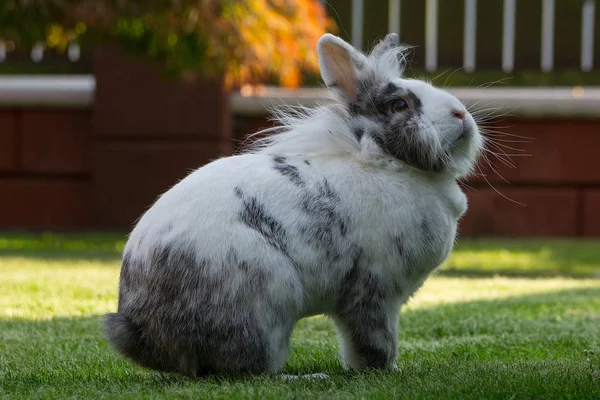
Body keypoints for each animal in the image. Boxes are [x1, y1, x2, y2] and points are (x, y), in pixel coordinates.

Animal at [105, 32, 486, 378]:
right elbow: (375, 343)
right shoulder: (373, 294)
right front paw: (389, 371)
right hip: (266, 307)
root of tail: (142, 331)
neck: (387, 161)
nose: (460, 113)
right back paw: (306, 376)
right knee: (249, 370)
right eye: (400, 106)